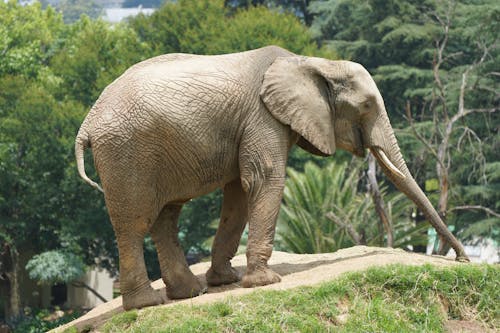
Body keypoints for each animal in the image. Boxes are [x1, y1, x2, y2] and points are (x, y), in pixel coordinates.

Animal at [75, 44, 468, 308]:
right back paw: (147, 303)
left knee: (166, 216)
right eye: (368, 106)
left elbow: (238, 192)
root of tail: (87, 124)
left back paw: (189, 292)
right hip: (126, 153)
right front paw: (265, 282)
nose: (462, 259)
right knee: (134, 223)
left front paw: (227, 281)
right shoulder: (263, 116)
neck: (310, 61)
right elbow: (264, 180)